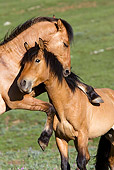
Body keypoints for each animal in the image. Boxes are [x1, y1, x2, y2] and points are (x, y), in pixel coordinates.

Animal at [17, 38, 114, 170]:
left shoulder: (82, 137)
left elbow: (81, 161)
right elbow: (65, 164)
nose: (22, 83)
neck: (67, 105)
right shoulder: (61, 139)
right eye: (23, 63)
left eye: (37, 60)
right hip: (109, 135)